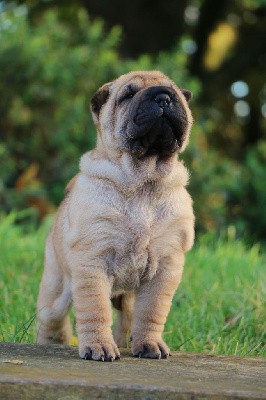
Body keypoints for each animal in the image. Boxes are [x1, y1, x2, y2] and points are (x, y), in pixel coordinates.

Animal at [36, 70, 194, 360]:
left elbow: (151, 311)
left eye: (176, 94)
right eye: (128, 95)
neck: (143, 179)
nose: (163, 97)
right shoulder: (93, 262)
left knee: (128, 319)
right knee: (52, 321)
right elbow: (95, 309)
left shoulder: (165, 266)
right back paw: (50, 344)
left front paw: (149, 343)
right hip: (55, 288)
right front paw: (98, 346)